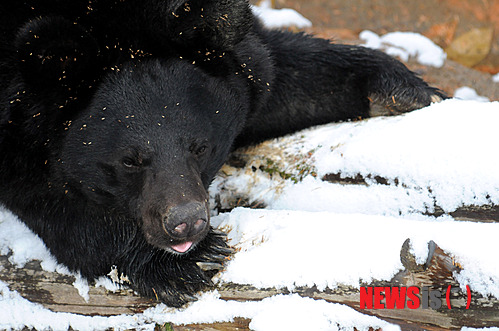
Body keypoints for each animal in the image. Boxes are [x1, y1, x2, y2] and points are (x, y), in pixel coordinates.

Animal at [0, 0, 446, 308]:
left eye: (201, 147)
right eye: (129, 161)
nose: (186, 224)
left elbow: (279, 72)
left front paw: (401, 89)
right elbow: (54, 203)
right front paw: (185, 263)